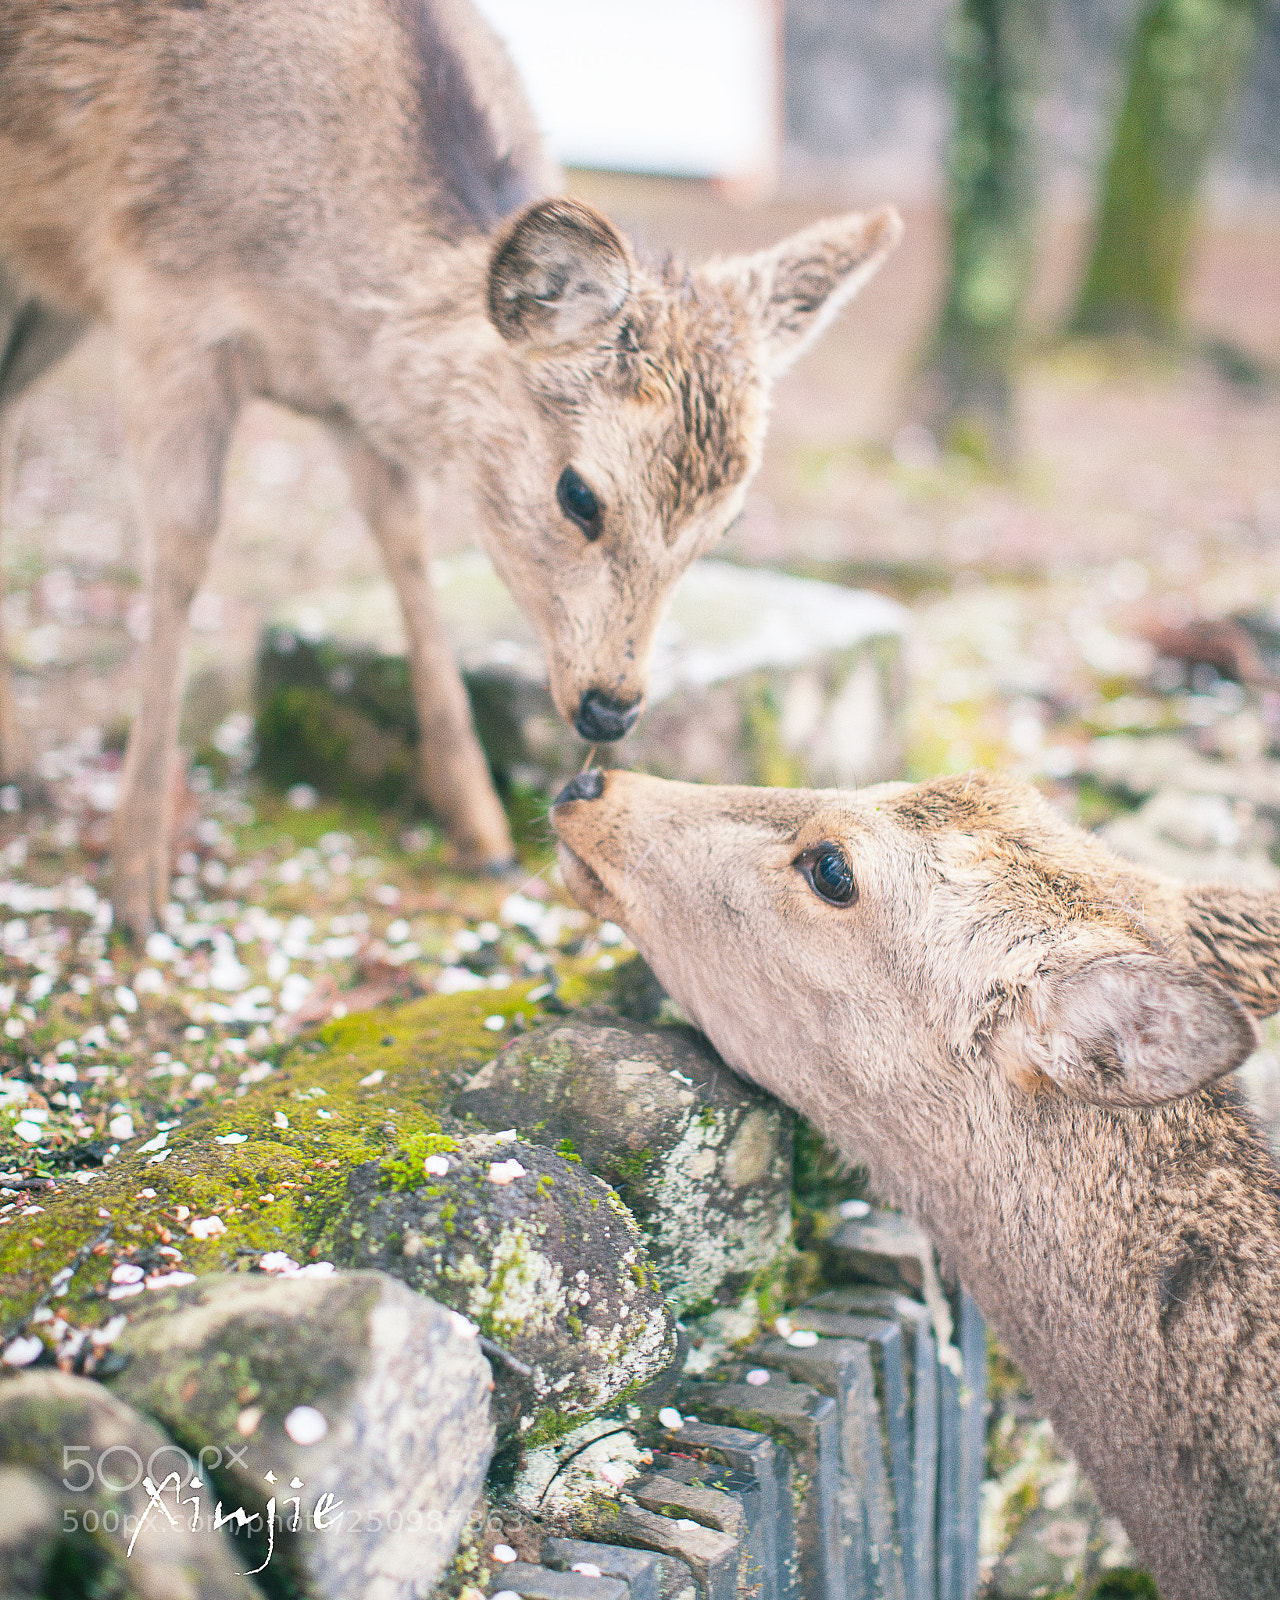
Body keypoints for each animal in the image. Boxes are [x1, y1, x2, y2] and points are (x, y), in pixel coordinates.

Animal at [0, 0, 902, 938]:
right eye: (579, 494)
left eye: (724, 525)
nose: (611, 706)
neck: (307, 295)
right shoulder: (160, 303)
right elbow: (182, 548)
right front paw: (137, 883)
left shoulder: (350, 405)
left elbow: (404, 544)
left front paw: (479, 827)